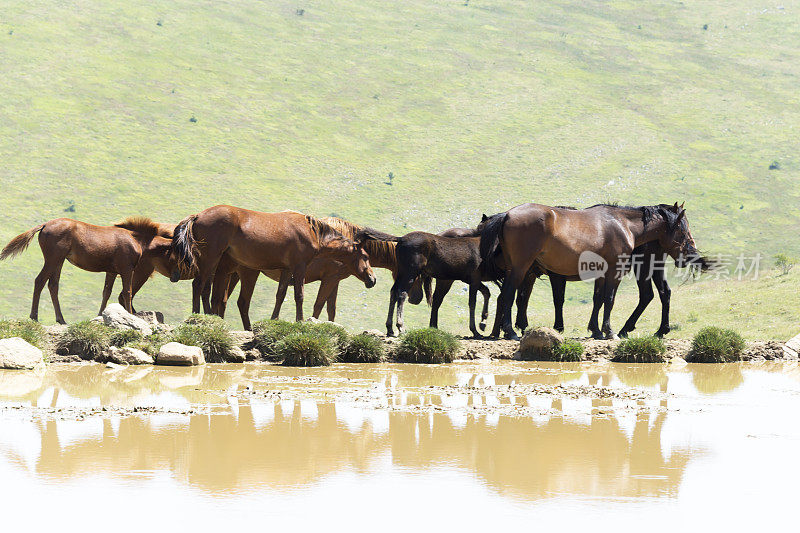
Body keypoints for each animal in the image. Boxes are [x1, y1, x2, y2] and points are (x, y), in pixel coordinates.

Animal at [0, 215, 173, 322]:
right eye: (175, 256)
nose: (175, 277)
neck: (135, 239)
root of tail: (44, 225)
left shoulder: (111, 271)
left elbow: (106, 292)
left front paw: (100, 315)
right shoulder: (126, 269)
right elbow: (127, 292)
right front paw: (130, 315)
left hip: (59, 261)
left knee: (53, 285)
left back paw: (61, 320)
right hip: (53, 259)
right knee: (40, 281)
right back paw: (34, 317)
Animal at [169, 204, 376, 320]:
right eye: (365, 257)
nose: (372, 279)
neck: (311, 232)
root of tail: (197, 216)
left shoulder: (287, 269)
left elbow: (280, 295)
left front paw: (274, 319)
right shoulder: (299, 267)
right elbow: (299, 295)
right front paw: (300, 321)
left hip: (214, 262)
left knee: (205, 289)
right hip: (211, 258)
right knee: (198, 285)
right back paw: (197, 315)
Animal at [482, 202, 700, 338]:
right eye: (682, 229)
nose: (691, 254)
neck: (624, 224)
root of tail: (507, 215)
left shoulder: (601, 273)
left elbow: (598, 299)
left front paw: (595, 330)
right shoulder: (614, 271)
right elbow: (609, 300)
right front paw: (609, 331)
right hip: (520, 268)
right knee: (508, 295)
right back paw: (510, 332)